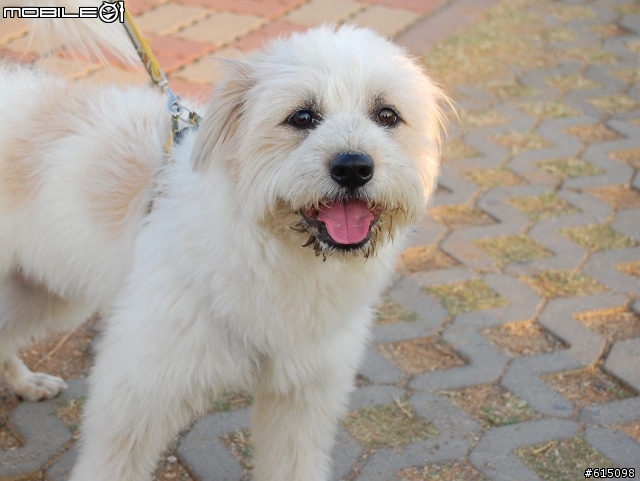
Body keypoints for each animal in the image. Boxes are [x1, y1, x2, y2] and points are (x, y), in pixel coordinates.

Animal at [0, 3, 447, 479]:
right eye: (301, 117)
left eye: (387, 115)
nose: (353, 167)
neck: (272, 251)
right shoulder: (136, 393)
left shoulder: (301, 402)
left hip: (40, 293)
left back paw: (26, 382)